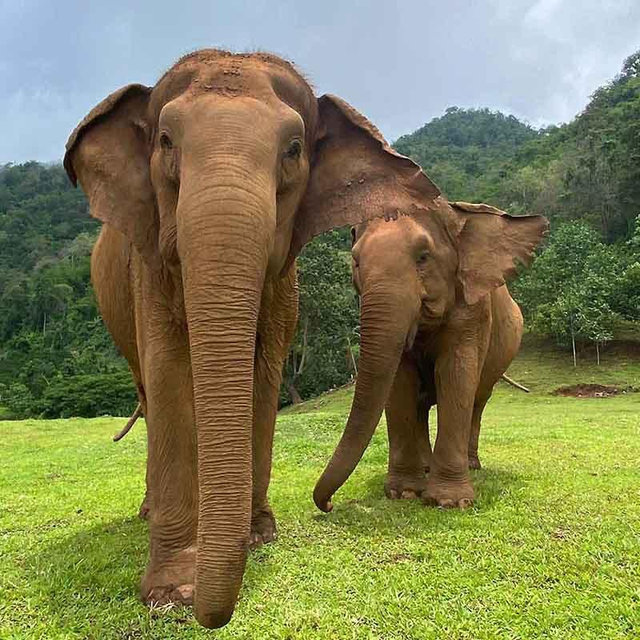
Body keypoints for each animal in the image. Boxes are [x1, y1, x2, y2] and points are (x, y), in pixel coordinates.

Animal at [63, 49, 441, 628]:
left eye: (293, 150)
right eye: (165, 142)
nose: (329, 506)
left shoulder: (285, 286)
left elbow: (264, 380)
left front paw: (259, 537)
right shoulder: (148, 269)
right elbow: (169, 374)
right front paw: (172, 592)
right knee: (149, 394)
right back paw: (148, 512)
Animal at [313, 200, 548, 513]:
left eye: (423, 257)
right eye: (357, 262)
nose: (328, 504)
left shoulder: (473, 309)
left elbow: (456, 374)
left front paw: (450, 502)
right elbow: (399, 382)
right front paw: (404, 493)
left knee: (477, 400)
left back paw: (471, 465)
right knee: (422, 404)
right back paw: (426, 468)